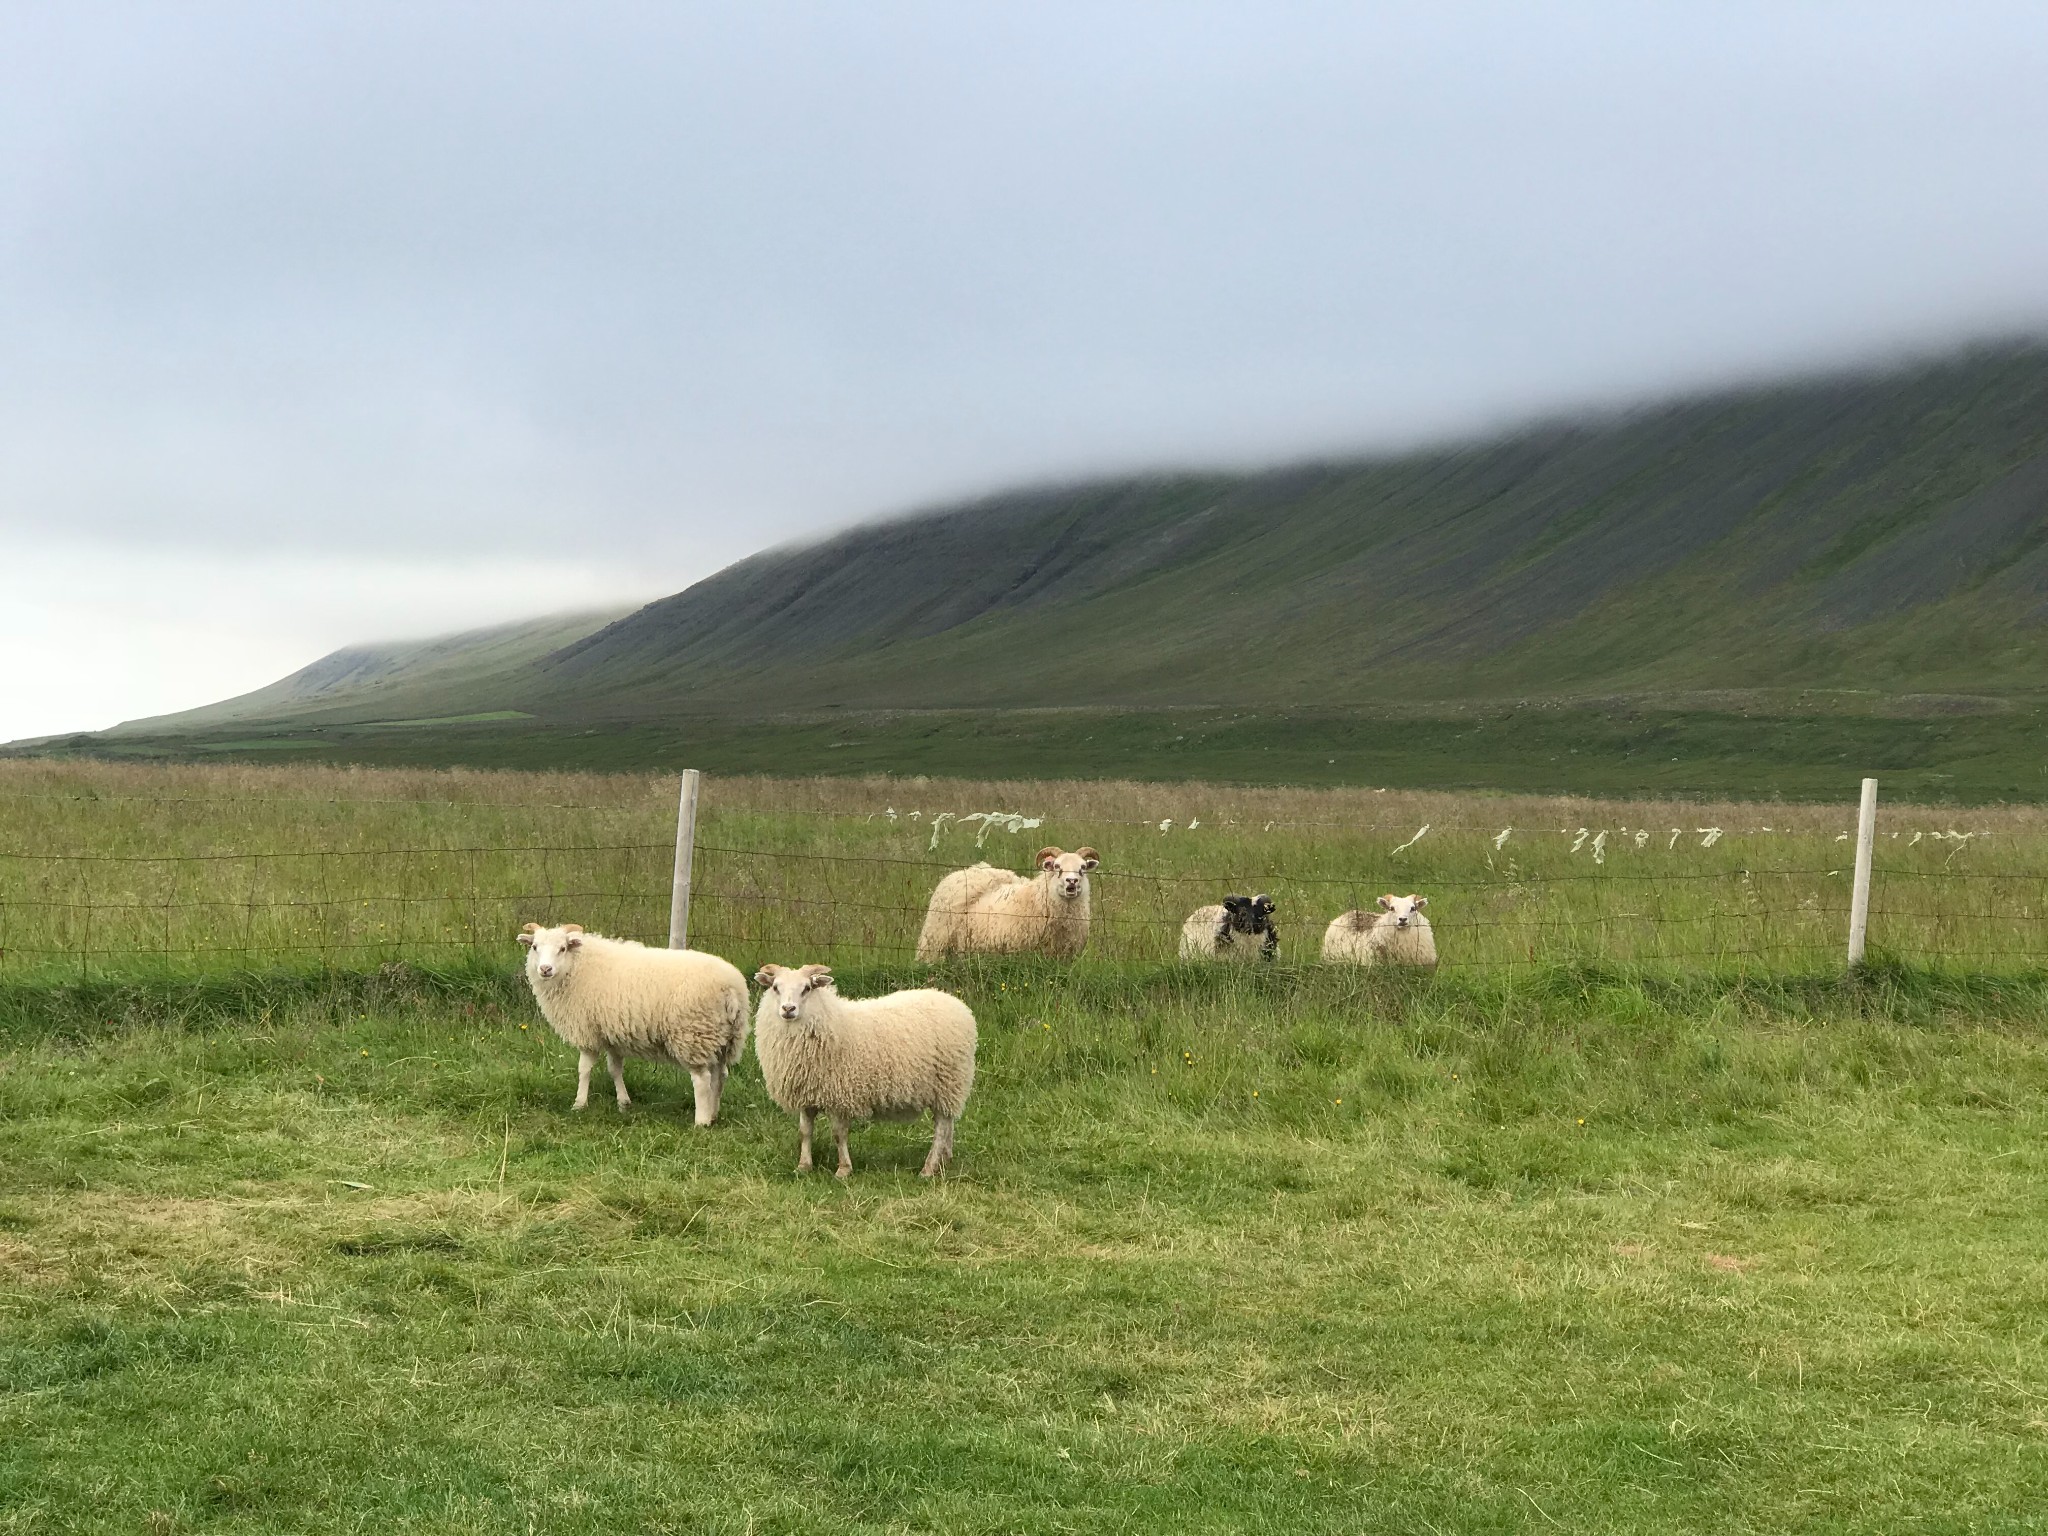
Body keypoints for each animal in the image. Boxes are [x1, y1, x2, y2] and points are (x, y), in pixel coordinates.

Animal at [520, 925, 753, 1130]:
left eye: (562, 948)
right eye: (535, 947)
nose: (545, 969)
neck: (578, 966)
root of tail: (732, 989)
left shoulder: (587, 1032)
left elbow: (584, 1069)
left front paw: (579, 1104)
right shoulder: (612, 1035)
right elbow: (614, 1069)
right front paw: (624, 1103)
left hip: (693, 1035)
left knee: (702, 1080)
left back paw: (701, 1121)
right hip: (725, 1038)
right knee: (720, 1076)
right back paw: (713, 1114)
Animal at [753, 966, 974, 1187]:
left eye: (807, 988)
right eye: (775, 987)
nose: (788, 1009)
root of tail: (956, 1003)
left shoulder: (839, 1095)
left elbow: (838, 1135)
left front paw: (843, 1169)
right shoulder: (807, 1094)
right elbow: (804, 1132)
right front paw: (803, 1166)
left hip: (948, 1081)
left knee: (941, 1128)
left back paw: (929, 1168)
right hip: (948, 1089)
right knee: (948, 1123)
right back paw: (946, 1159)